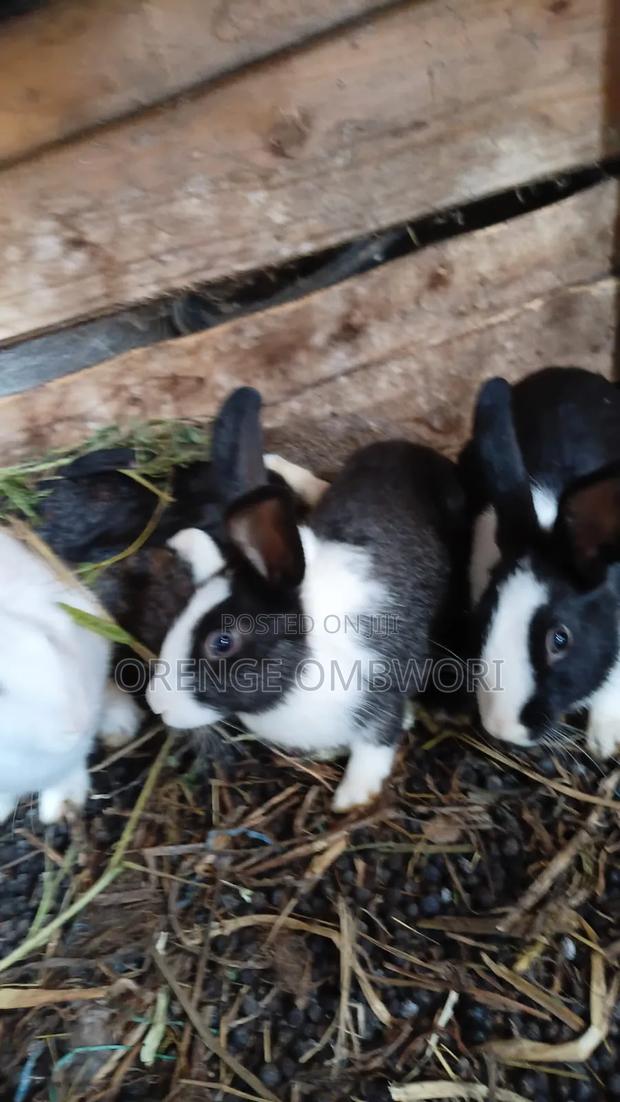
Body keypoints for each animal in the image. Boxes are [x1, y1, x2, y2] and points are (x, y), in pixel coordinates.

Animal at [147, 387, 468, 812]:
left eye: (222, 642)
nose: (156, 705)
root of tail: (412, 447)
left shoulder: (382, 693)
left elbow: (376, 744)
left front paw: (351, 799)